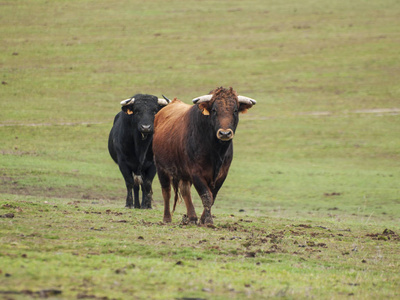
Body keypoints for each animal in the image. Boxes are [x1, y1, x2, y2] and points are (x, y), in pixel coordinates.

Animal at [153, 86, 256, 225]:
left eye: (235, 110)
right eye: (214, 110)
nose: (224, 133)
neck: (216, 151)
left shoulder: (222, 174)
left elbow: (213, 196)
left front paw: (203, 220)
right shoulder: (196, 173)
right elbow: (206, 196)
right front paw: (207, 220)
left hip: (183, 172)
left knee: (185, 190)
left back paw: (192, 217)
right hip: (161, 168)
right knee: (166, 191)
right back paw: (167, 218)